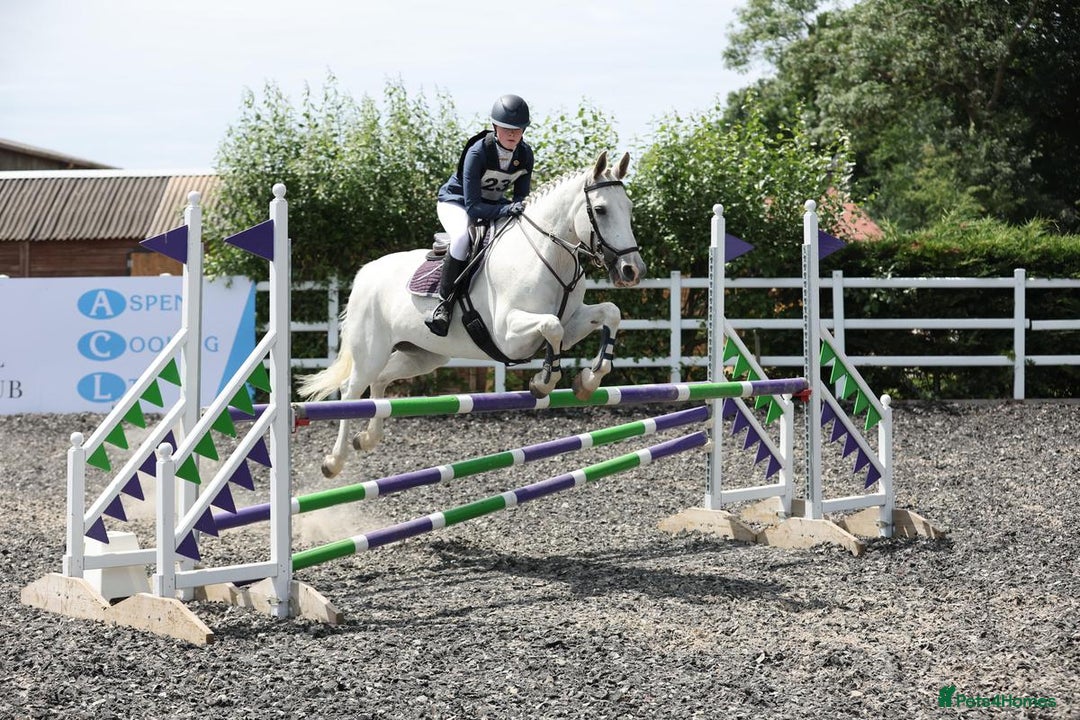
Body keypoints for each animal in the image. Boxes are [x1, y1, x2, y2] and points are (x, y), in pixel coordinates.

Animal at [298, 151, 646, 479]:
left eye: (629, 208)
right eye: (600, 210)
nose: (632, 270)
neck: (547, 255)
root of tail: (365, 273)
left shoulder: (573, 322)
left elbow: (609, 313)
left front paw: (588, 381)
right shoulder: (509, 336)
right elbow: (552, 328)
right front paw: (543, 382)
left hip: (422, 355)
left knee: (381, 382)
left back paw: (367, 438)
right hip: (371, 351)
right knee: (351, 391)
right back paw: (334, 461)